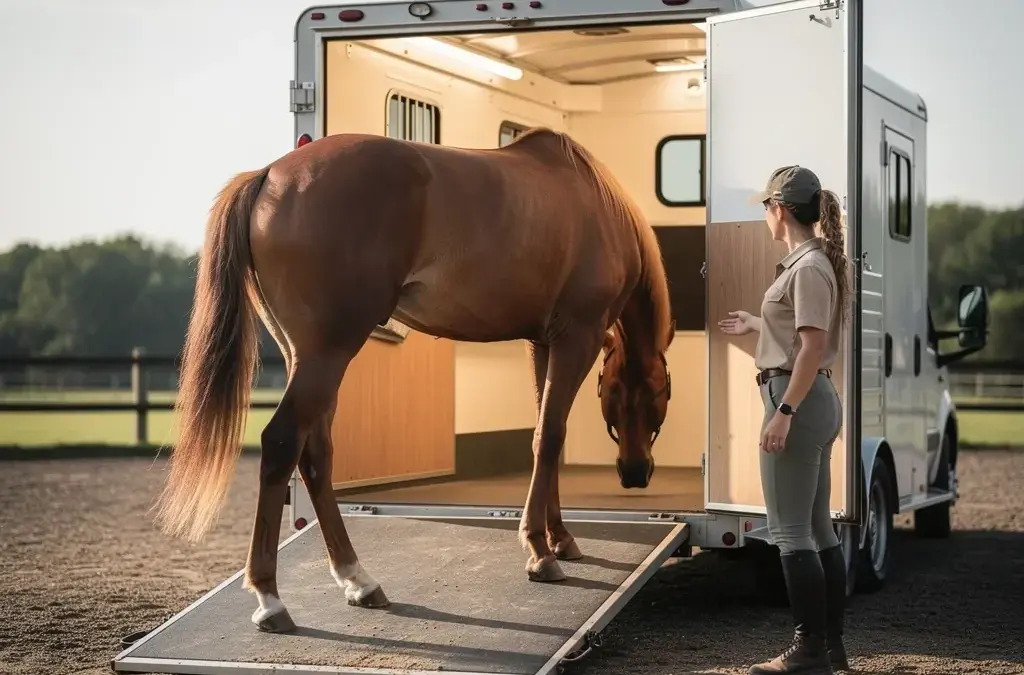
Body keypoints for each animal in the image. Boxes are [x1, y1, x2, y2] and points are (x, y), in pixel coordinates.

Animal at [153, 126, 676, 633]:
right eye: (639, 393)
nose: (635, 472)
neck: (595, 202)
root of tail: (269, 175)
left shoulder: (544, 343)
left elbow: (546, 436)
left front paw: (560, 538)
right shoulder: (576, 339)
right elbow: (550, 436)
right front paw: (540, 552)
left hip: (305, 356)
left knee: (315, 452)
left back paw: (358, 580)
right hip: (327, 353)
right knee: (282, 443)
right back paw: (271, 599)